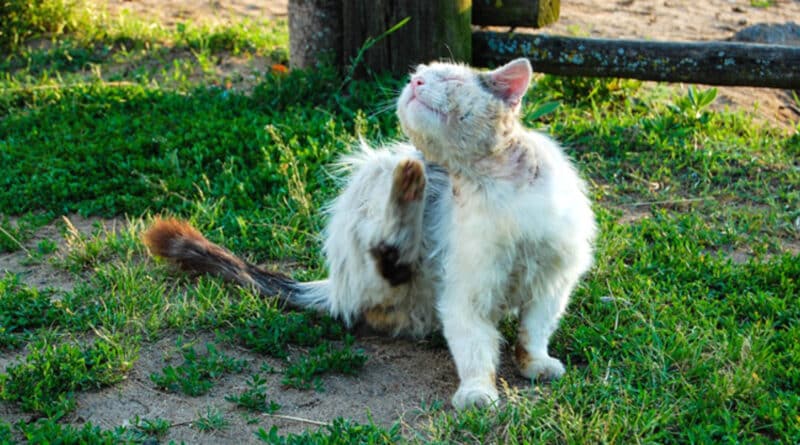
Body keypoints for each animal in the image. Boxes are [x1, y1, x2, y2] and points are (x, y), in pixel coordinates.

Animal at [142, 57, 592, 408]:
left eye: (449, 78)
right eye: (419, 75)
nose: (415, 82)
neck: (492, 184)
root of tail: (334, 285)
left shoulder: (553, 282)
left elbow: (534, 331)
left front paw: (536, 363)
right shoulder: (467, 292)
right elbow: (475, 348)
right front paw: (478, 392)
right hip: (377, 173)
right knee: (384, 261)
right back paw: (409, 186)